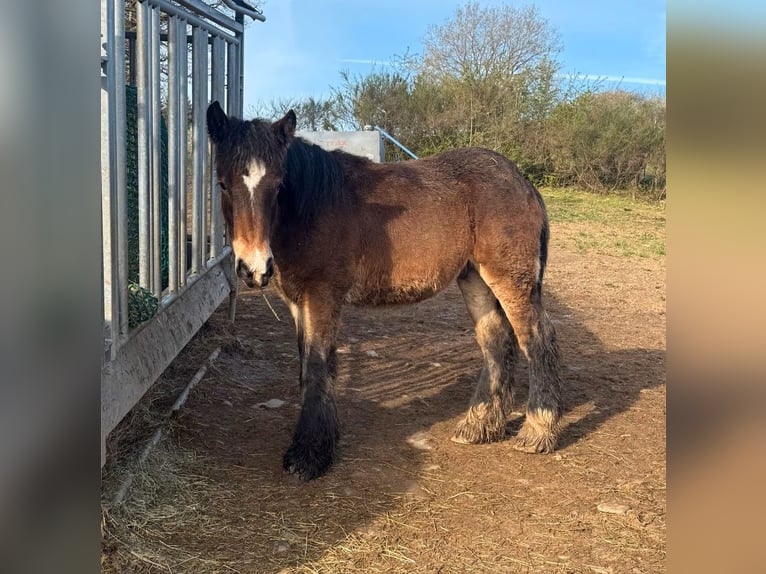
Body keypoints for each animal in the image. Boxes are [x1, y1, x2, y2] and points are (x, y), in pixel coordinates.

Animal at [207, 101, 564, 481]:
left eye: (277, 185)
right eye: (223, 184)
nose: (255, 269)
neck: (314, 205)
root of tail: (521, 181)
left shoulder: (323, 296)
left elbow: (318, 365)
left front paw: (309, 455)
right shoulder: (296, 301)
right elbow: (305, 367)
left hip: (511, 279)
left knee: (537, 339)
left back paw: (538, 430)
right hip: (474, 277)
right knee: (496, 337)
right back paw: (479, 425)